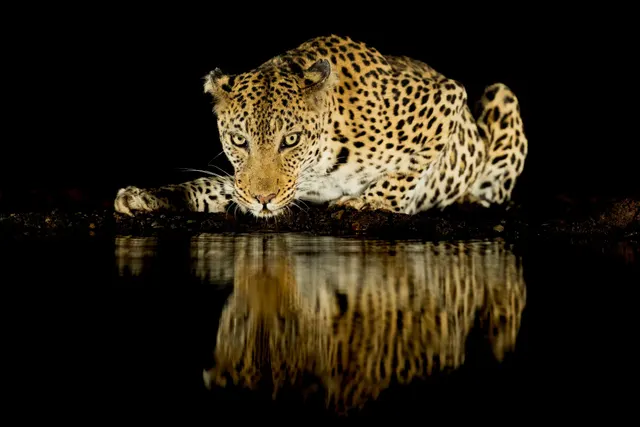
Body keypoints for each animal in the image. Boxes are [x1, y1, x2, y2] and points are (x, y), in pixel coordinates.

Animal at [113, 35, 528, 218]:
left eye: (291, 140)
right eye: (238, 140)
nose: (264, 199)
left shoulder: (444, 98)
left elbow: (408, 169)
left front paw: (372, 200)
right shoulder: (253, 183)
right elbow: (218, 187)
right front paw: (149, 196)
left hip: (501, 93)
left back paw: (470, 198)